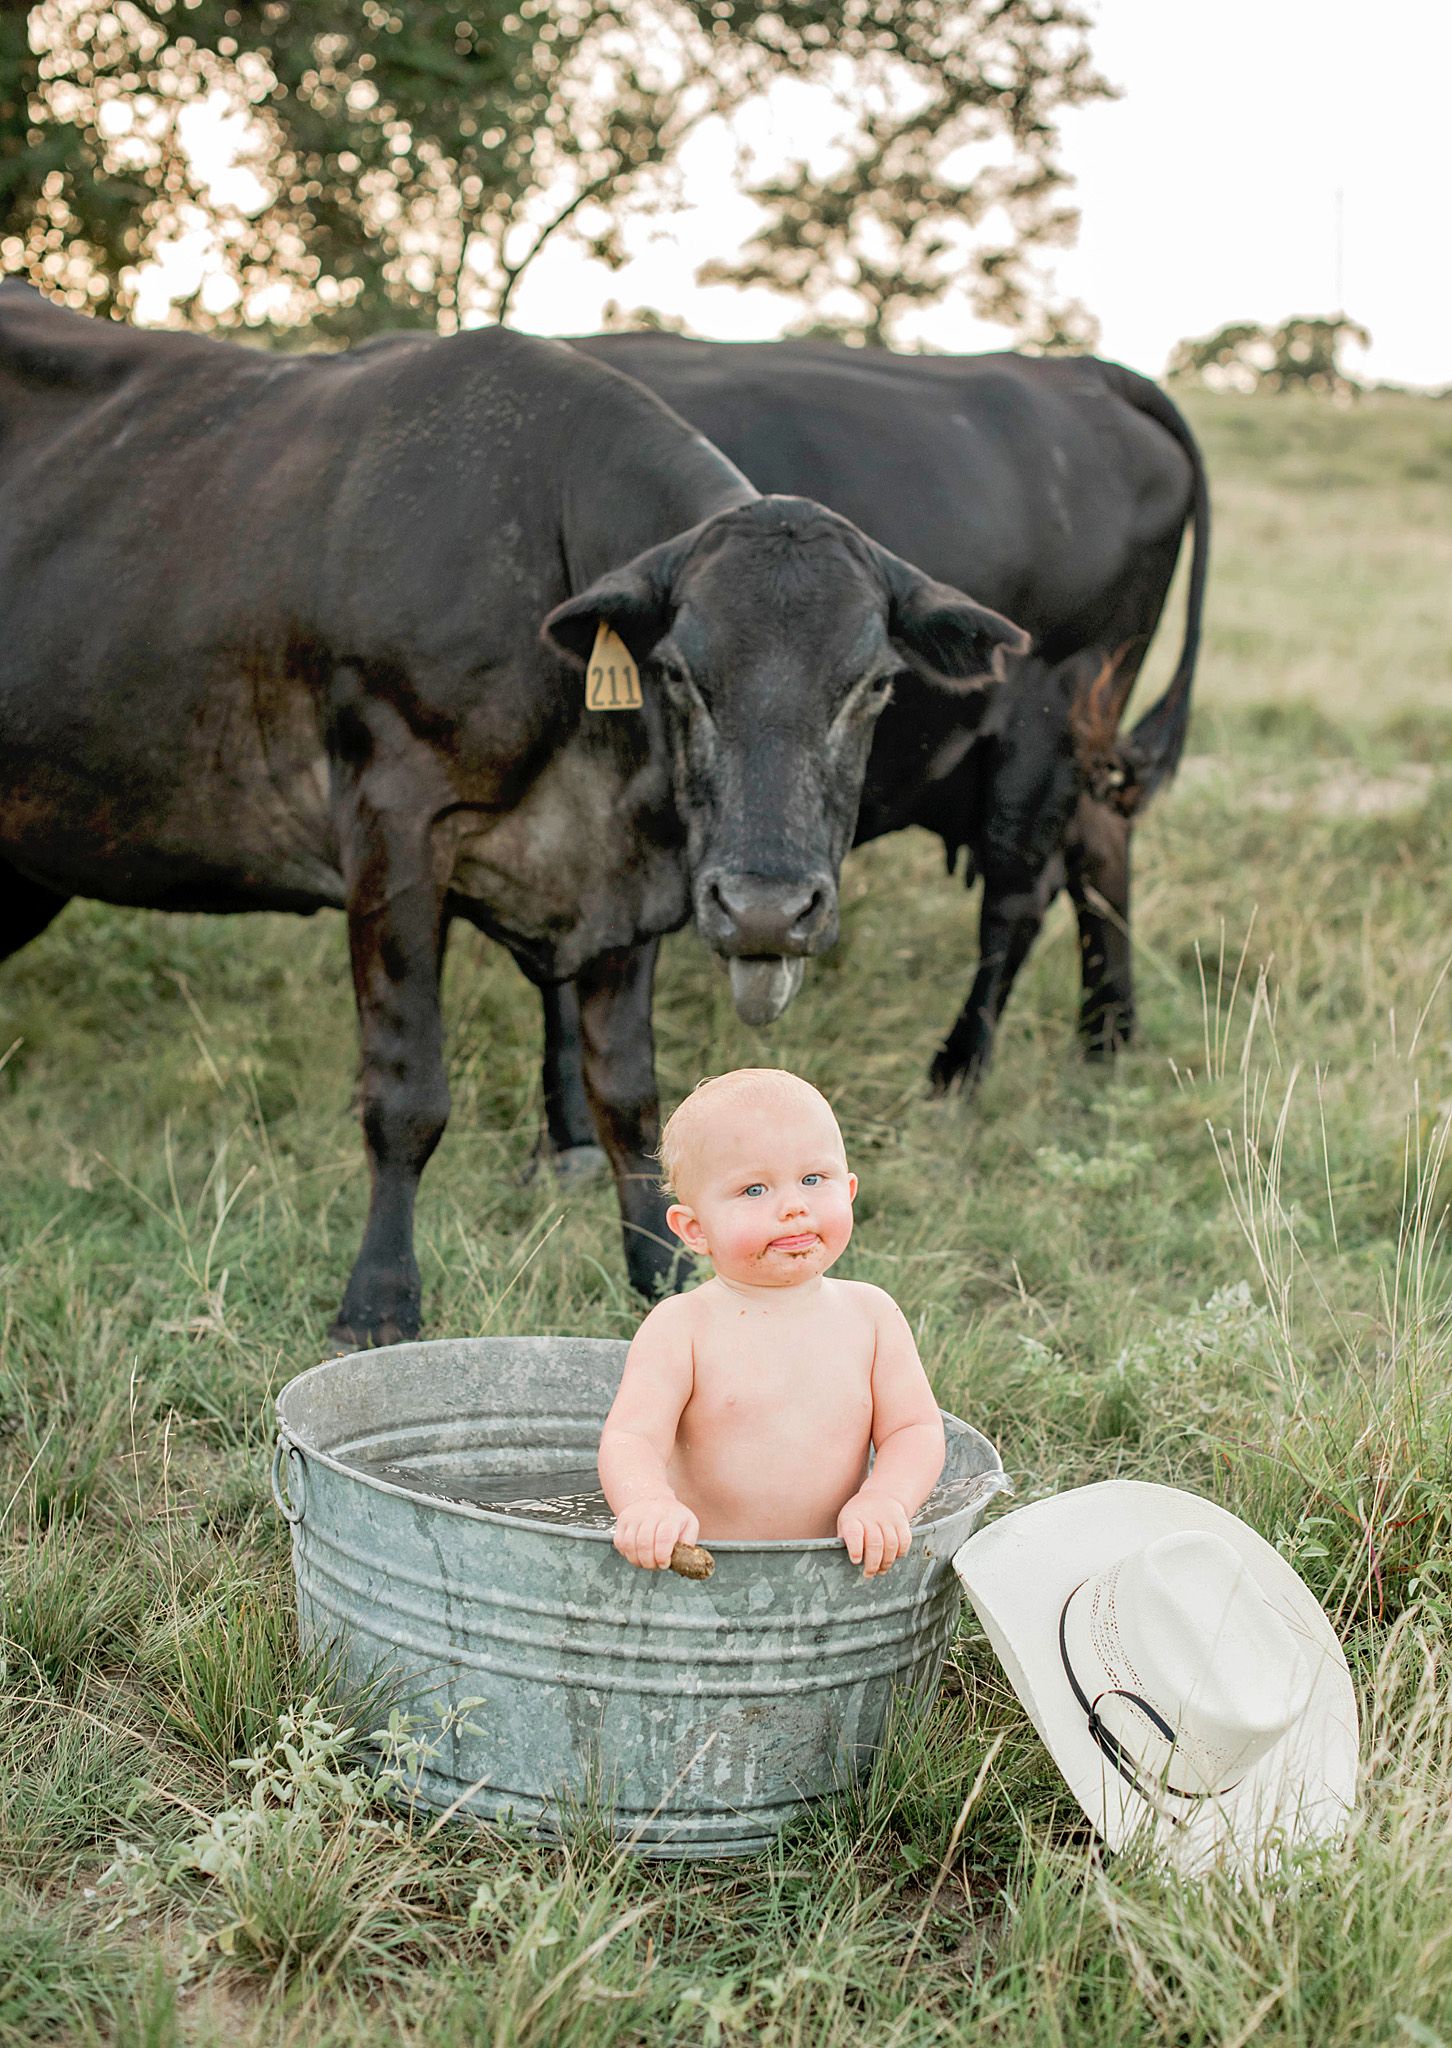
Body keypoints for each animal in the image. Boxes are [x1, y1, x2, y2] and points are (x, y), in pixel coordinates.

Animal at [0, 284, 1027, 1342]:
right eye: (677, 673)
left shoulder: (637, 883)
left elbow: (630, 1100)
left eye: (874, 684)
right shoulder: (394, 826)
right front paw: (378, 1298)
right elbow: (406, 1091)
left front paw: (660, 1272)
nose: (766, 910)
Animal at [520, 334, 1210, 1169]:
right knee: (1103, 850)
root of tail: (1085, 371)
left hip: (1049, 723)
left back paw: (959, 1070)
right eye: (676, 673)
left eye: (878, 682)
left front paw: (574, 1133)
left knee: (1018, 897)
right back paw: (1107, 1037)